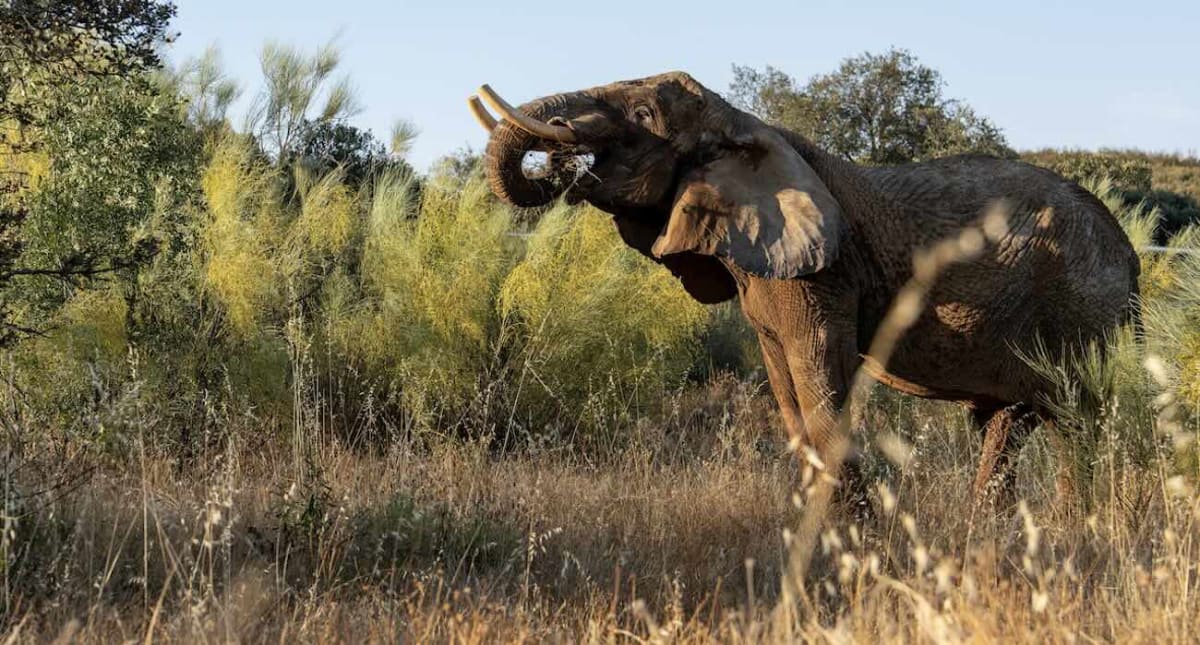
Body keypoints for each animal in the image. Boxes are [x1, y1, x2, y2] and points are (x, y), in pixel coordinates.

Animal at [467, 72, 1140, 510]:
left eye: (643, 117)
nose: (560, 153)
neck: (747, 126)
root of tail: (1130, 257)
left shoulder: (823, 275)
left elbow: (819, 378)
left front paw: (854, 540)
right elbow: (788, 392)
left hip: (1082, 310)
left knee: (1077, 421)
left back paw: (1081, 529)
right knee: (1007, 424)